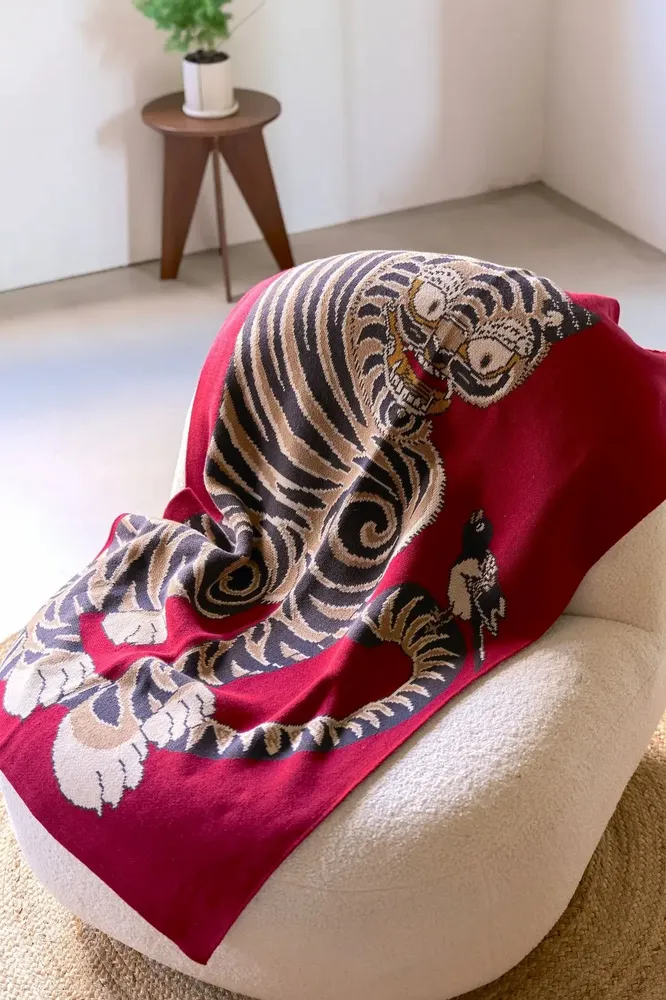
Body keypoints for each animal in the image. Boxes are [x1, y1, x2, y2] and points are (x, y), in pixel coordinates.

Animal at [0, 251, 597, 813]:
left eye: (486, 361)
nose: (432, 365)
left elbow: (218, 647)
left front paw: (109, 733)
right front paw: (76, 693)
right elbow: (153, 569)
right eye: (428, 309)